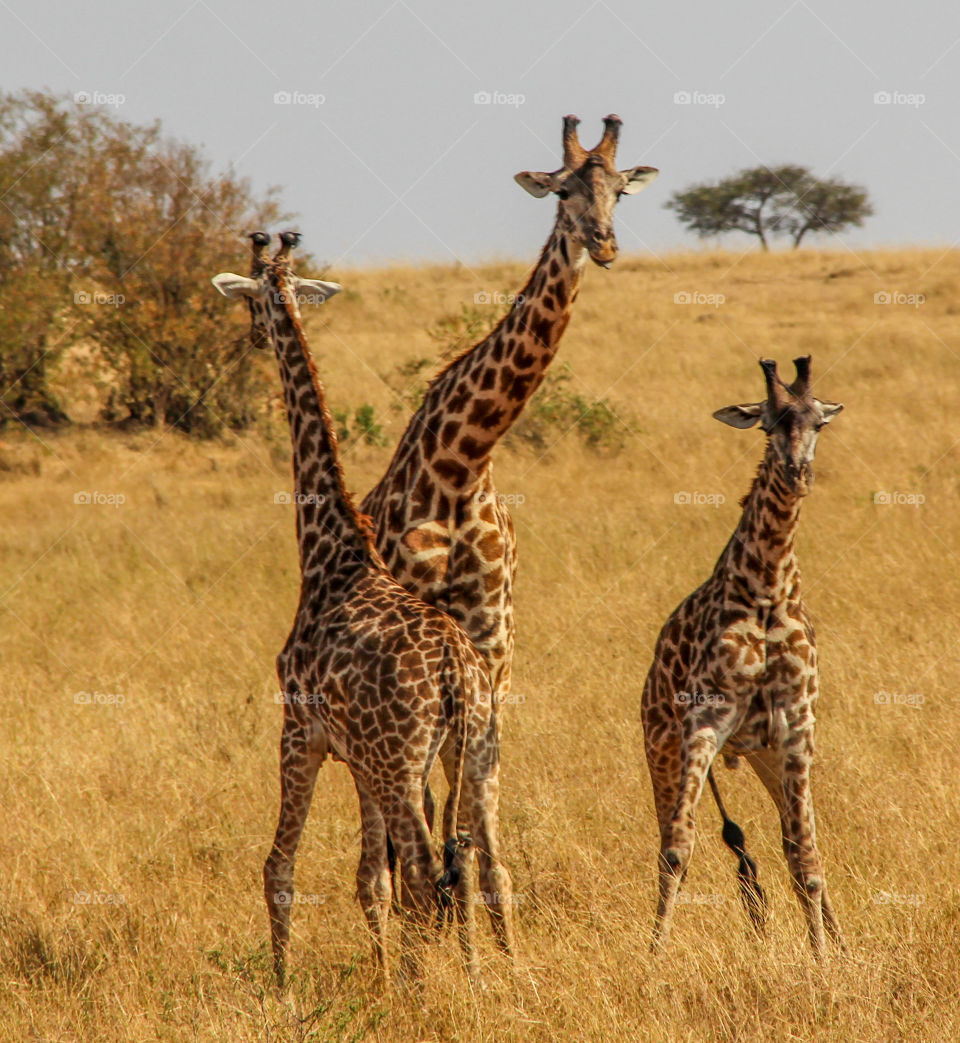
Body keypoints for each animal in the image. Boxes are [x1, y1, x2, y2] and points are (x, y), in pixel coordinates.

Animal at [212, 233, 514, 986]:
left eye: (251, 300)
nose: (254, 334)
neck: (330, 552)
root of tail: (454, 676)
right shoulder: (360, 760)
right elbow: (370, 879)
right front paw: (382, 977)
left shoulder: (301, 731)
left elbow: (280, 867)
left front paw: (283, 987)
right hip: (469, 752)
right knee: (474, 865)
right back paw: (485, 978)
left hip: (404, 764)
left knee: (429, 871)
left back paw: (440, 986)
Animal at [641, 356, 845, 958]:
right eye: (767, 423)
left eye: (818, 423)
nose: (798, 474)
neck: (768, 589)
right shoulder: (706, 719)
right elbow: (676, 850)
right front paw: (655, 955)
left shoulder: (797, 724)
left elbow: (806, 858)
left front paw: (824, 958)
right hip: (661, 746)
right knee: (668, 835)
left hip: (768, 756)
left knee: (799, 838)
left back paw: (840, 941)